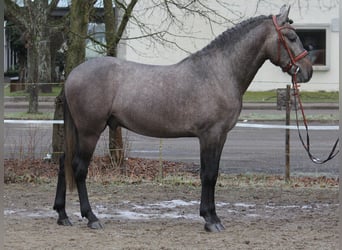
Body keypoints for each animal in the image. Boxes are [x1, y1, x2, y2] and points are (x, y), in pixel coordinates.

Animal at [53, 5, 312, 232]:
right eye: (290, 36)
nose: (307, 71)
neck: (219, 72)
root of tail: (73, 74)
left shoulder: (220, 136)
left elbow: (213, 173)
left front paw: (211, 216)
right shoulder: (210, 135)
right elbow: (208, 175)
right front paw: (211, 220)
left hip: (78, 131)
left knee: (63, 162)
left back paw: (62, 215)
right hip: (89, 131)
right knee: (79, 168)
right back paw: (91, 217)